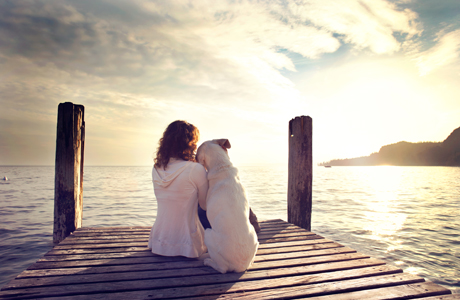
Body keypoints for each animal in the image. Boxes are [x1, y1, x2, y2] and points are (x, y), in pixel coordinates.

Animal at [195, 139, 258, 274]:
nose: (193, 156)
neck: (222, 167)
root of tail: (239, 267)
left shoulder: (204, 204)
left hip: (208, 233)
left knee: (222, 268)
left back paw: (209, 262)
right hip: (254, 236)